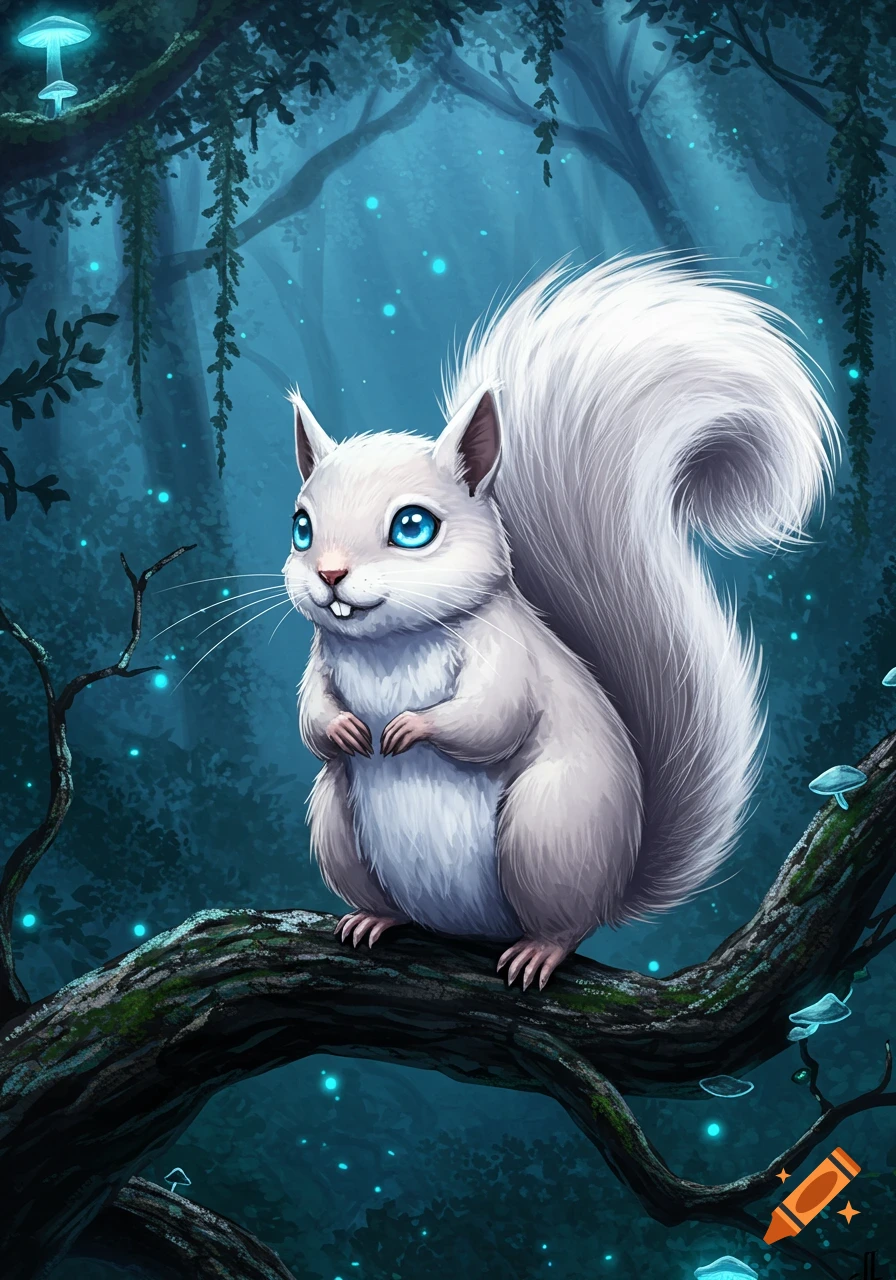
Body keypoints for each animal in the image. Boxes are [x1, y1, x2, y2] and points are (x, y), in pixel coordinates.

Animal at [283, 255, 838, 991]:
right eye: (301, 526)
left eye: (413, 526)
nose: (330, 576)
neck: (391, 644)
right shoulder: (320, 662)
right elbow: (312, 718)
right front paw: (345, 729)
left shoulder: (508, 656)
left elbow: (492, 717)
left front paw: (410, 728)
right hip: (336, 825)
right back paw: (375, 918)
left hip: (548, 827)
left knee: (567, 923)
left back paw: (539, 950)